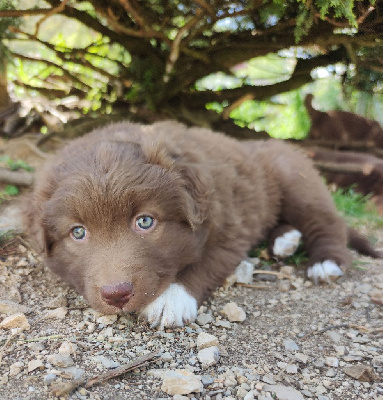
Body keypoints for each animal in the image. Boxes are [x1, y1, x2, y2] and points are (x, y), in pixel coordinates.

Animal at [24, 121, 380, 328]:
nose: (116, 294)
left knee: (327, 222)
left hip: (295, 177)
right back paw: (285, 241)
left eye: (145, 221)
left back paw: (325, 261)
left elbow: (205, 262)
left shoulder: (230, 228)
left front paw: (170, 299)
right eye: (78, 232)